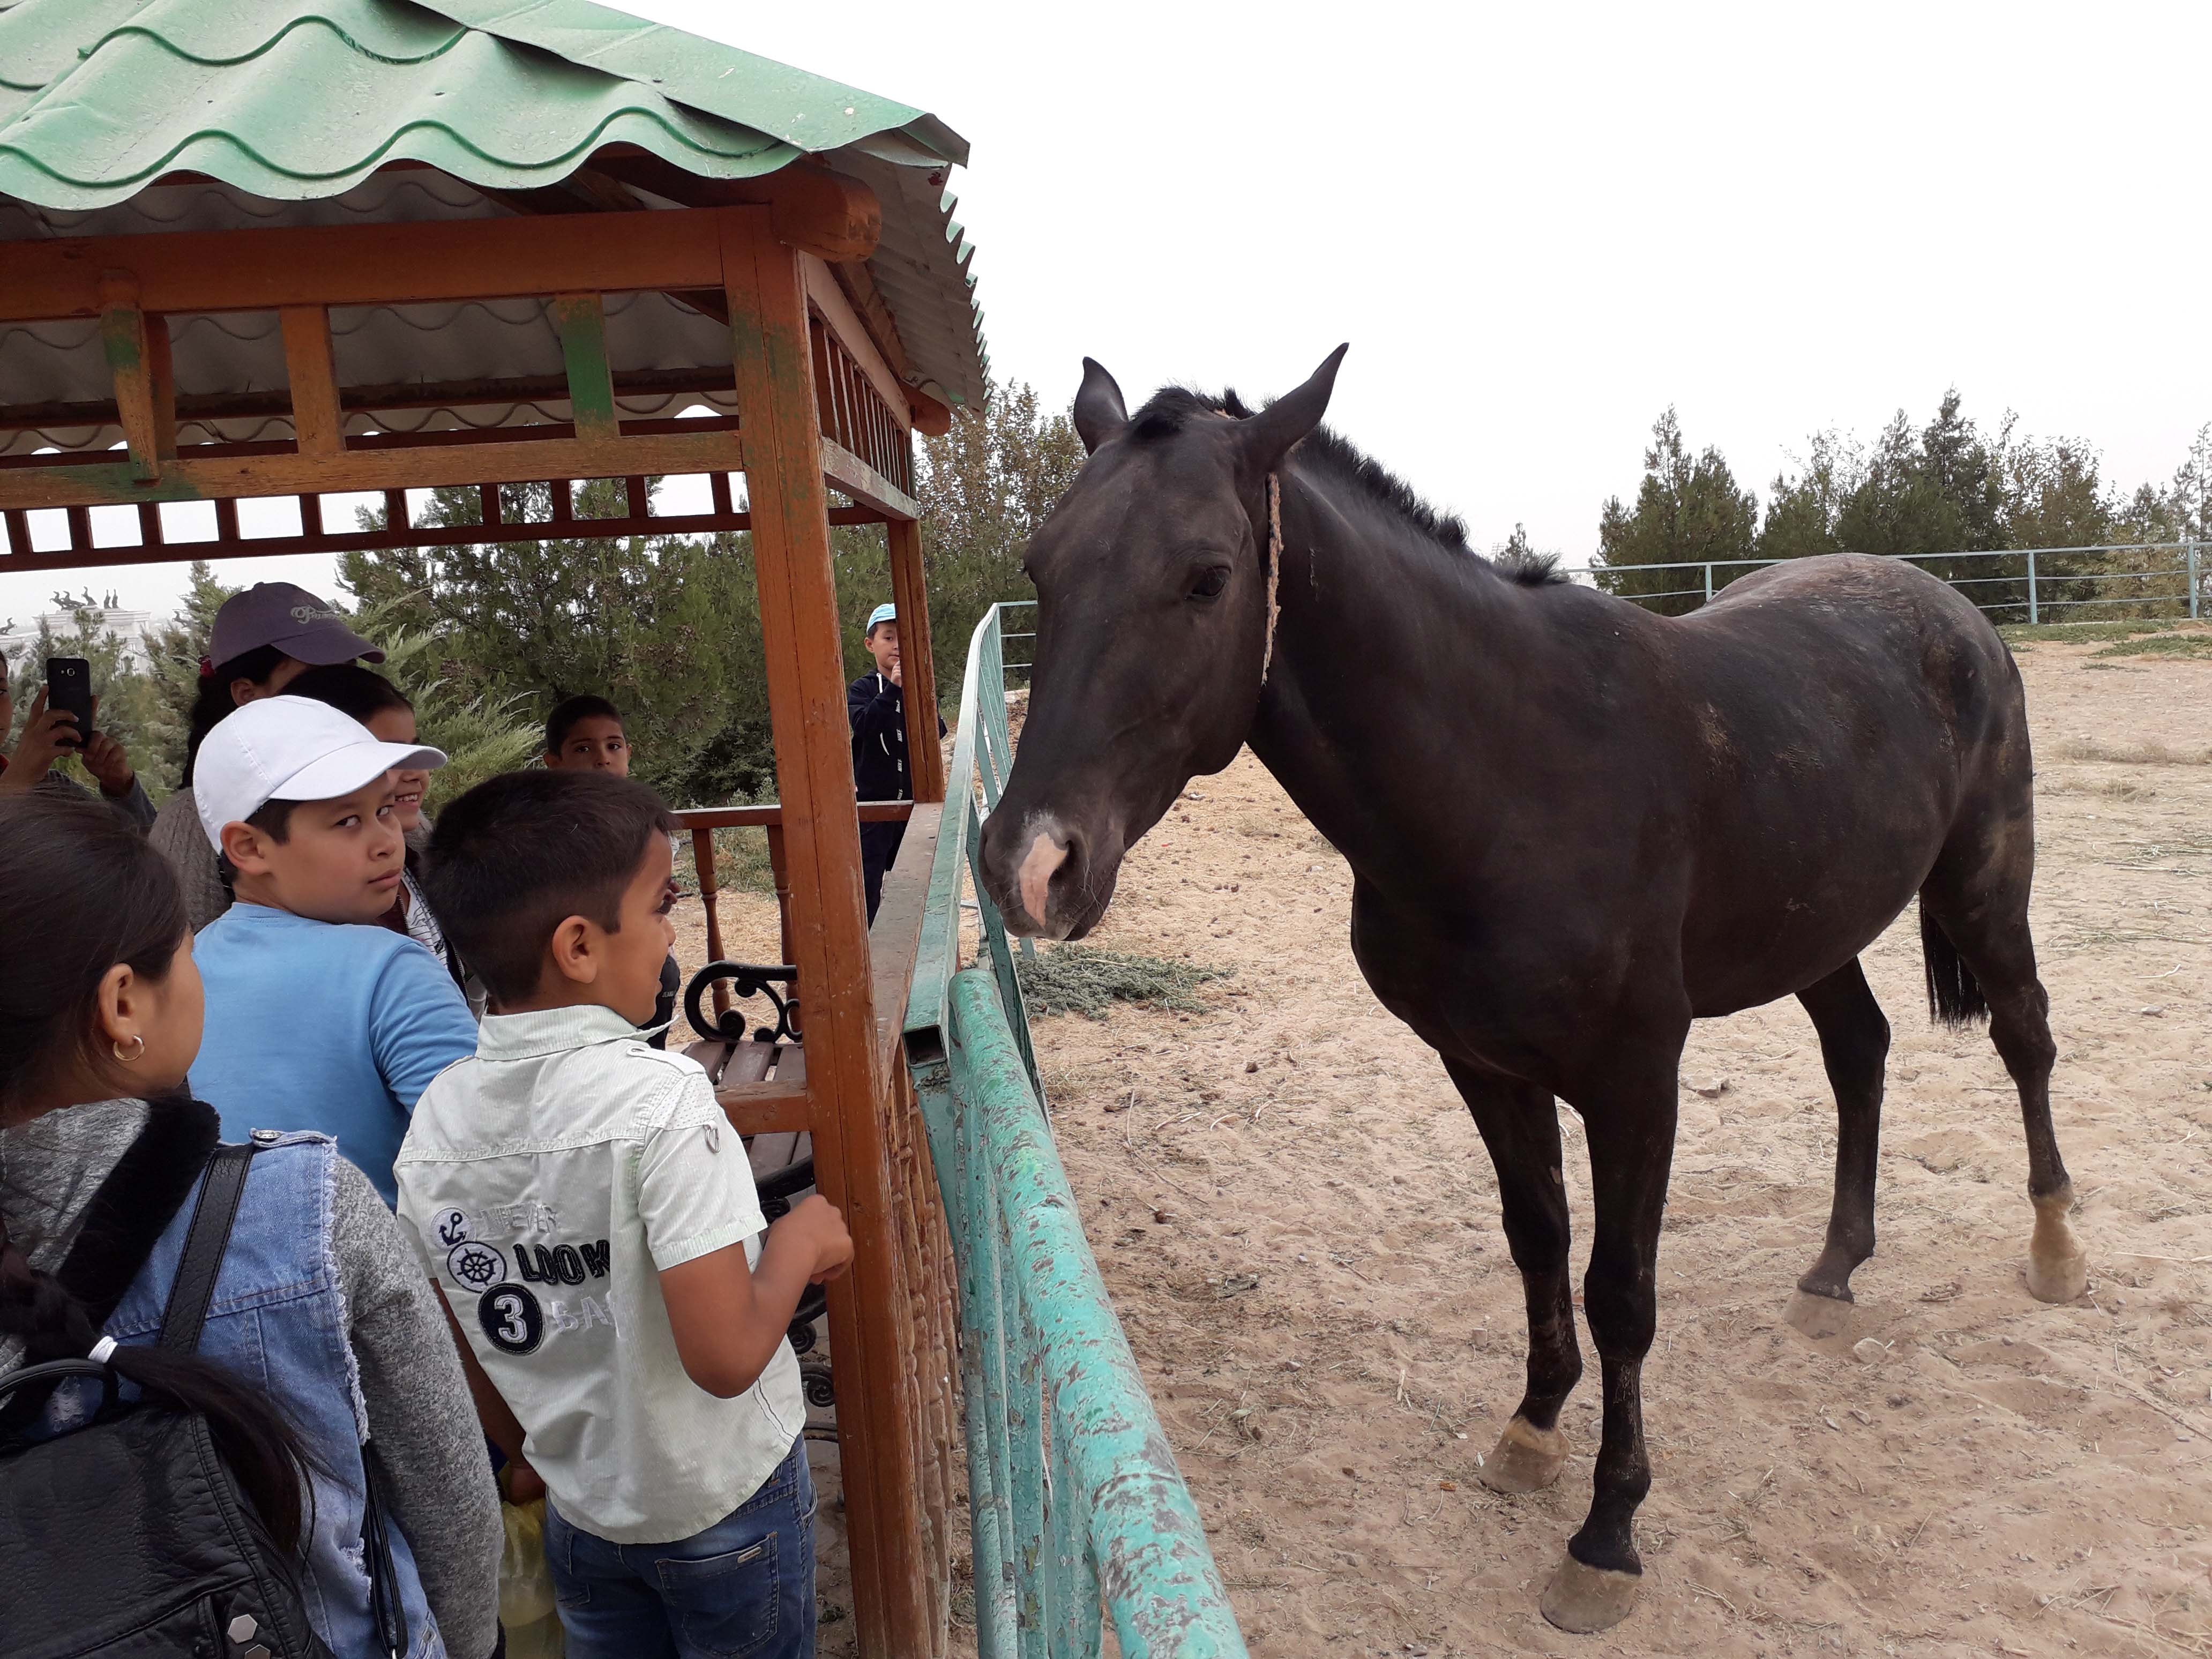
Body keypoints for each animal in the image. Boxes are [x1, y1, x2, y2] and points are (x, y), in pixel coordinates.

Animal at [973, 347, 2090, 1634]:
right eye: (1043, 567)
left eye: (1205, 578)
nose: (1028, 865)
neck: (1513, 776)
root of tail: (1955, 612)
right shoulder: (1482, 1065)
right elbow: (1537, 1239)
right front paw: (1531, 1430)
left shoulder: (1633, 1081)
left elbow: (1620, 1292)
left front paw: (1606, 1535)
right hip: (1818, 933)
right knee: (1859, 1051)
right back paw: (1832, 1271)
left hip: (1983, 881)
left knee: (2025, 1036)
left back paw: (2057, 1248)